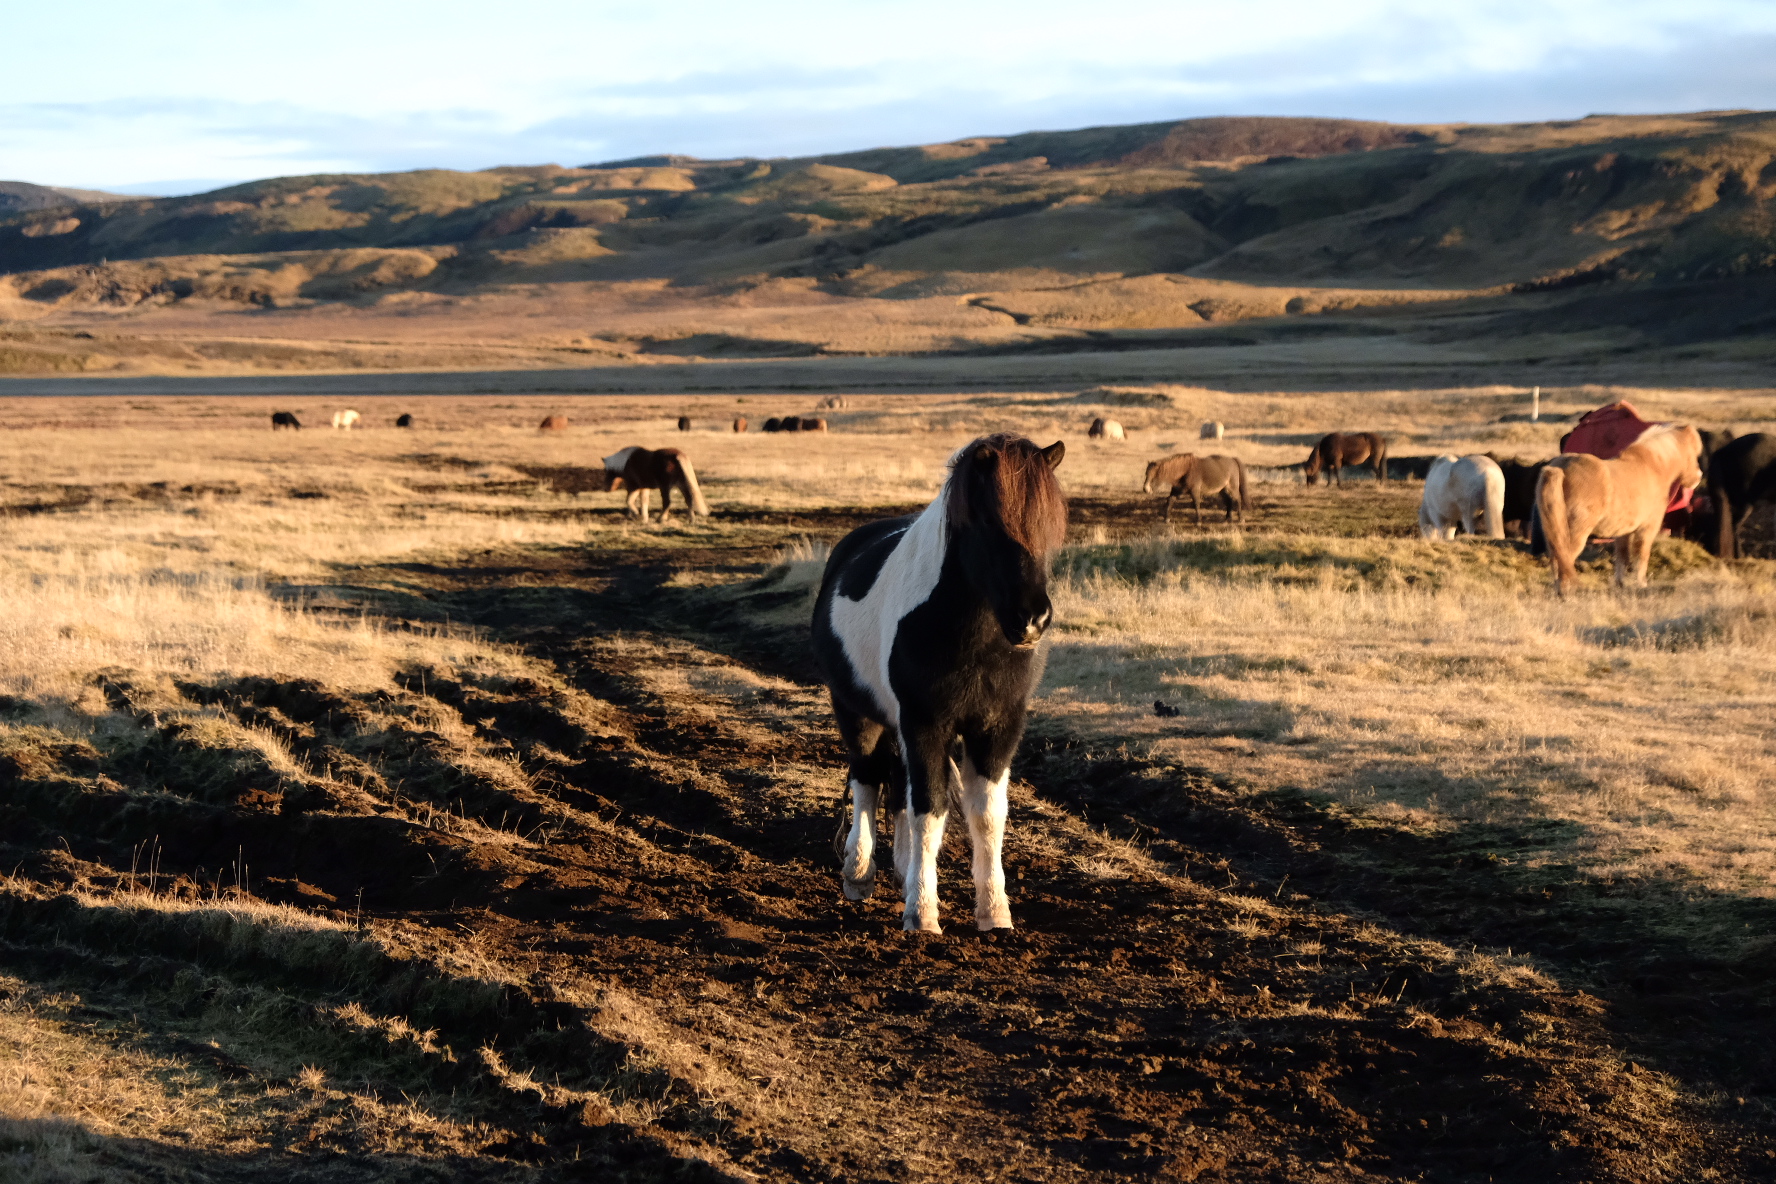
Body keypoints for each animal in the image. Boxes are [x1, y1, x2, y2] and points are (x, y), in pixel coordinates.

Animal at [809, 431, 1065, 930]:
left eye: (1049, 523)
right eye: (988, 521)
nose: (1032, 620)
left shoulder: (998, 728)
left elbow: (986, 816)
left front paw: (994, 913)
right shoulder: (924, 722)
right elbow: (929, 810)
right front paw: (923, 914)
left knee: (895, 785)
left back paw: (900, 869)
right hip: (856, 712)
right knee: (867, 781)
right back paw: (859, 872)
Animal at [1541, 420, 1704, 596]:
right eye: (1694, 453)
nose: (1698, 477)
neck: (1651, 467)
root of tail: (1560, 468)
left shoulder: (1622, 532)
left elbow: (1622, 557)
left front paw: (1620, 584)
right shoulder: (1647, 528)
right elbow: (1641, 556)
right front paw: (1641, 585)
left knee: (1556, 558)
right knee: (1565, 558)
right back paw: (1566, 591)